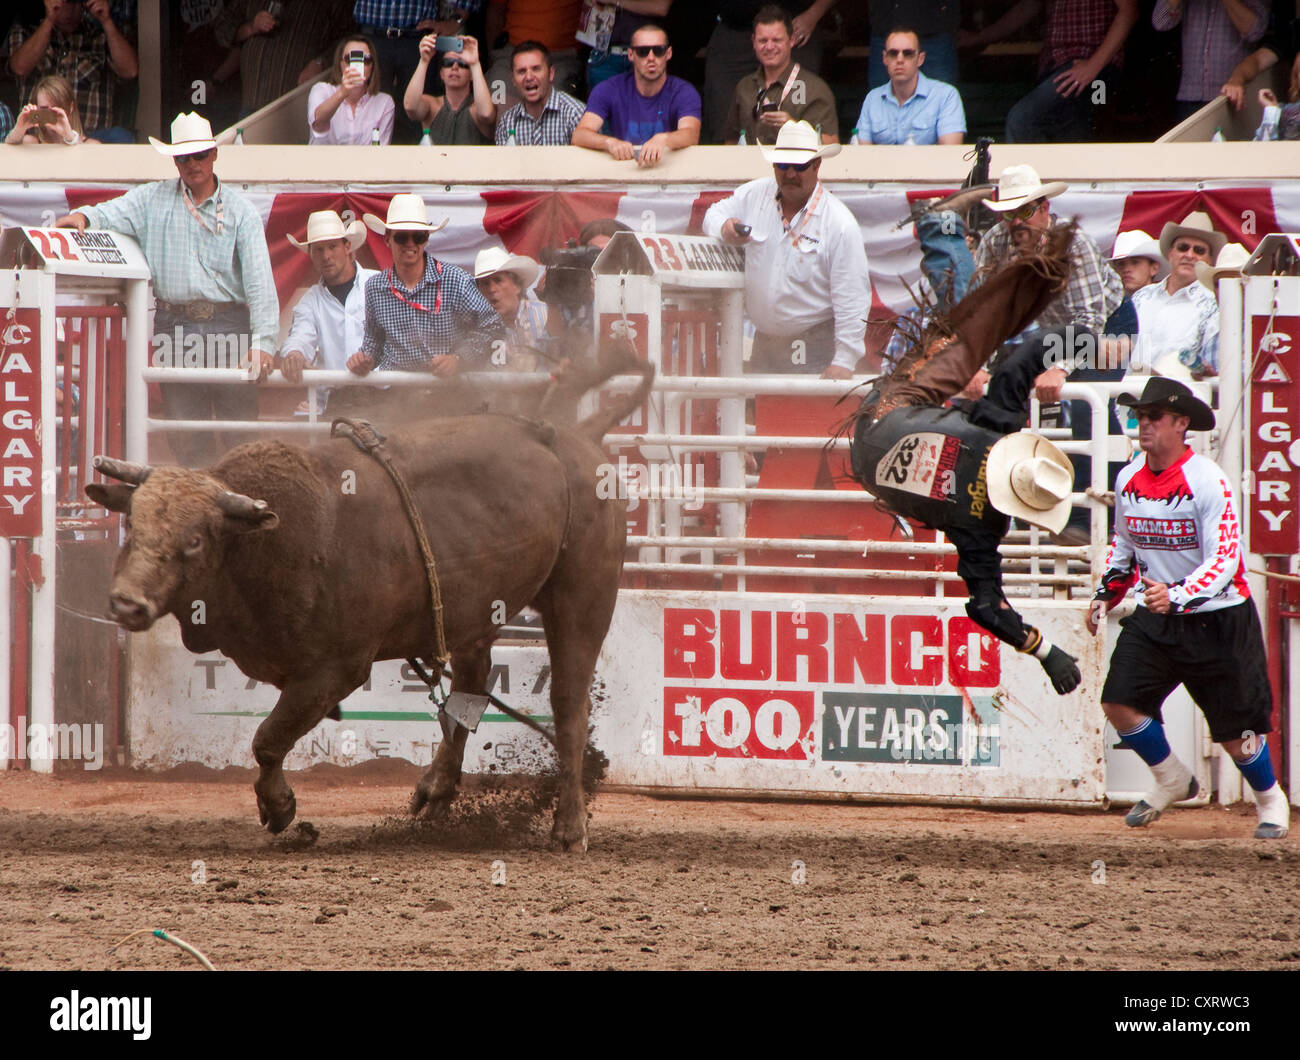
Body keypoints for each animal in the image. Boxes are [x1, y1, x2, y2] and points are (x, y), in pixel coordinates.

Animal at [87, 364, 655, 853]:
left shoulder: (335, 670)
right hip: (475, 611)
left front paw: (280, 806)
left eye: (195, 540)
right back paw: (437, 789)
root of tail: (570, 438)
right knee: (472, 685)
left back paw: (568, 827)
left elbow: (268, 738)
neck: (268, 542)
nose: (127, 603)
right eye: (133, 523)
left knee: (568, 706)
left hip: (583, 597)